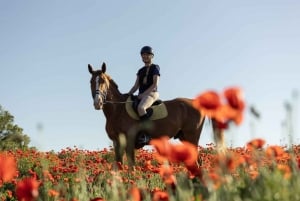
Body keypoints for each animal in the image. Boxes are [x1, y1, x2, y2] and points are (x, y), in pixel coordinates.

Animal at [88, 62, 224, 166]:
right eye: (91, 82)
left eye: (103, 81)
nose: (97, 103)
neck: (118, 110)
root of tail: (196, 102)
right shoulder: (117, 143)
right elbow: (119, 167)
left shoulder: (129, 142)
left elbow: (131, 167)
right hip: (184, 137)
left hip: (192, 137)